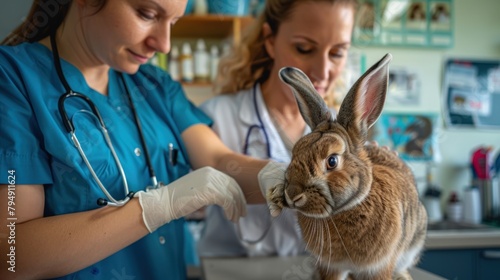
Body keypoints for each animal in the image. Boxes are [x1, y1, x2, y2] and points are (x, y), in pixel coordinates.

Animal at [268, 53, 428, 280]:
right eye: (295, 152)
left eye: (332, 161)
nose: (292, 194)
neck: (348, 208)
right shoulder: (331, 266)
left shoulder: (379, 266)